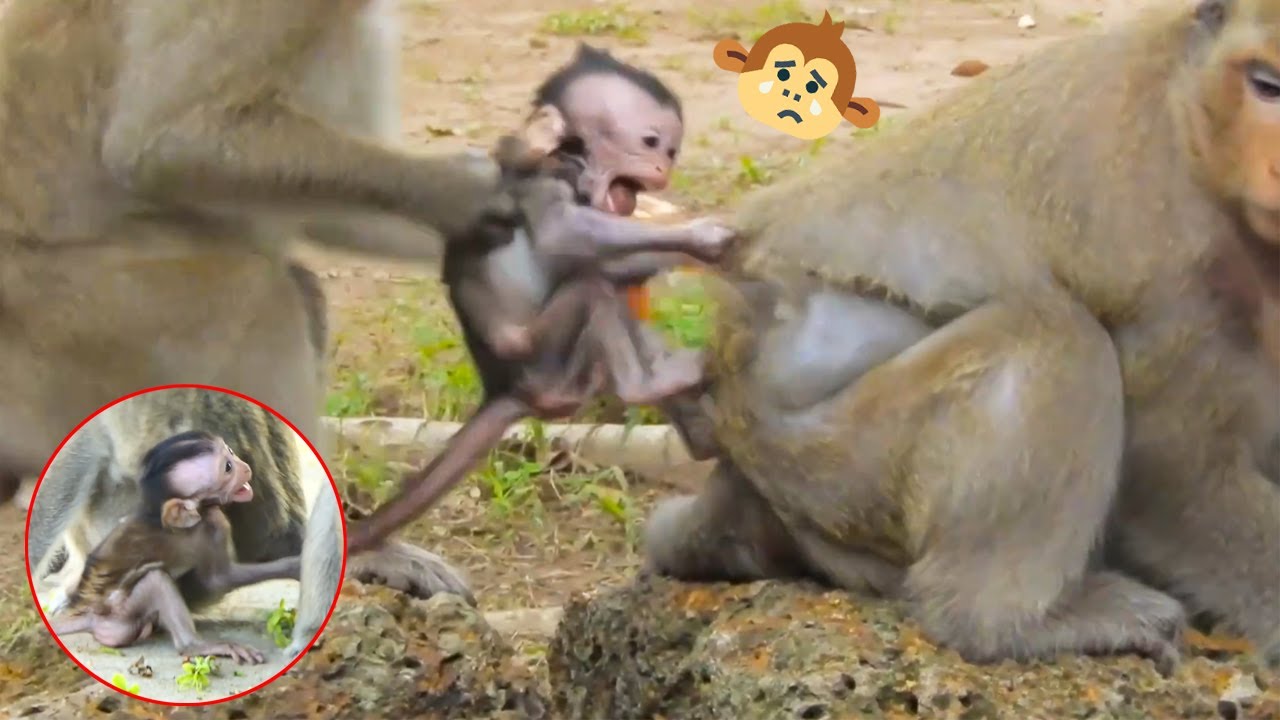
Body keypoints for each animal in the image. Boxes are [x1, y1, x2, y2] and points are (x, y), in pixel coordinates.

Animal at [49, 430, 299, 664]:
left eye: (230, 451)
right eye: (228, 468)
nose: (245, 468)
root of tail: (91, 618)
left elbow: (220, 577)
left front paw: (294, 565)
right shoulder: (213, 524)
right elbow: (216, 580)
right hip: (117, 617)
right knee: (155, 579)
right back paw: (195, 646)